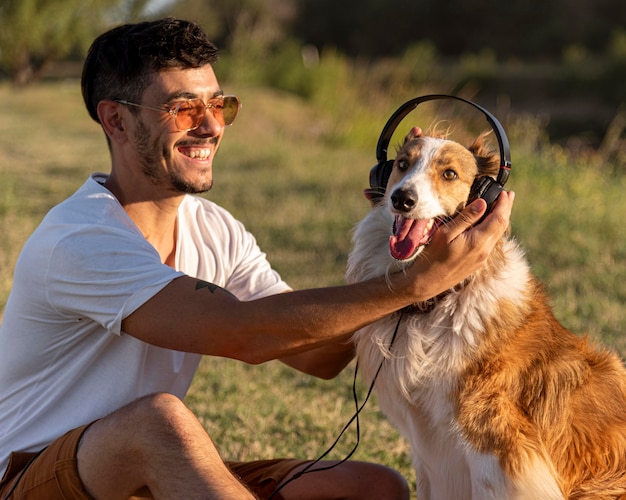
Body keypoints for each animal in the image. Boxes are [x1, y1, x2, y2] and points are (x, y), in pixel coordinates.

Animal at [344, 127, 624, 498]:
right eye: (402, 164)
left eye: (449, 174)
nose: (402, 199)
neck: (439, 303)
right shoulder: (430, 454)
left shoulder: (498, 452)